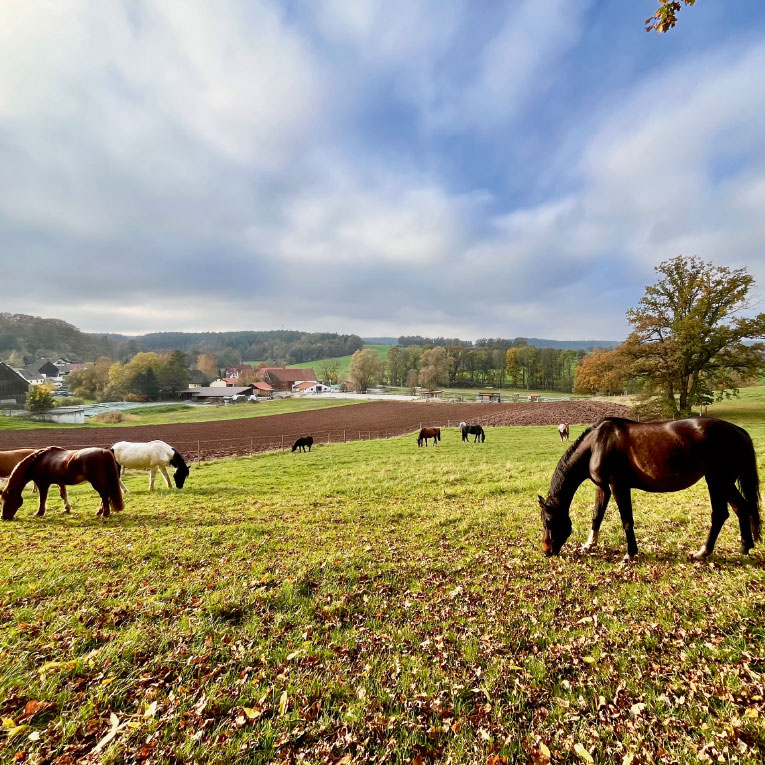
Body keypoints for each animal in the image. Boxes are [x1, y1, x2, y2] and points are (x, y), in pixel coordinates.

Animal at [536, 418, 760, 560]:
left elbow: (626, 520)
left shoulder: (618, 486)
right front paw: (589, 545)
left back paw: (703, 552)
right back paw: (744, 546)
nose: (546, 550)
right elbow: (596, 516)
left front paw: (630, 553)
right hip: (724, 482)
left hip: (717, 481)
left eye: (548, 521)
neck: (597, 444)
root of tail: (739, 431)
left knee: (720, 514)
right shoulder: (603, 488)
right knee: (741, 508)